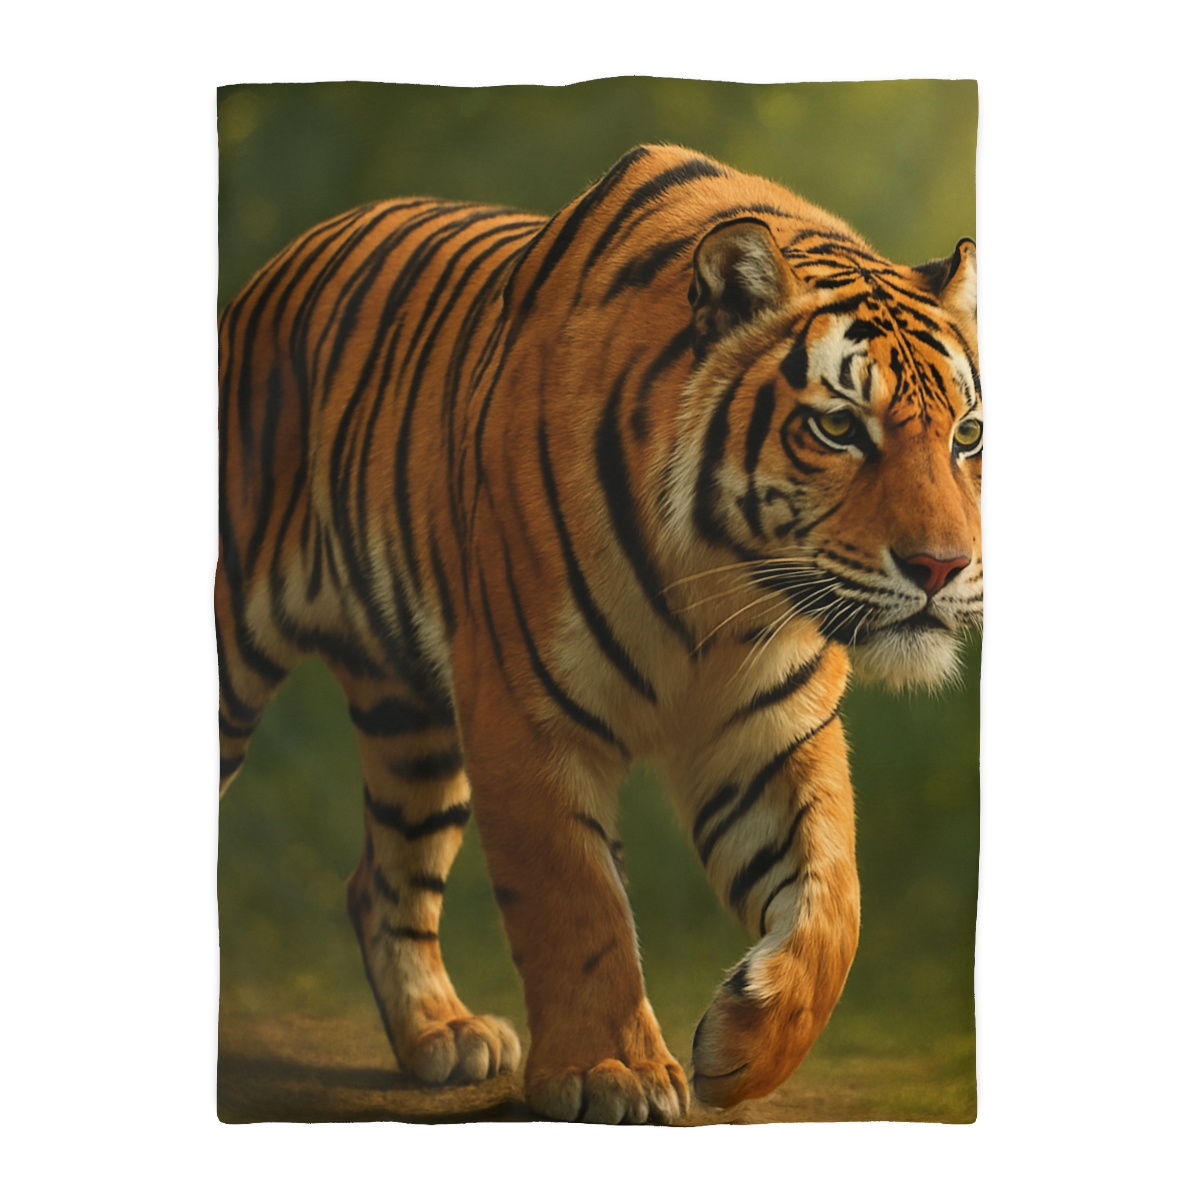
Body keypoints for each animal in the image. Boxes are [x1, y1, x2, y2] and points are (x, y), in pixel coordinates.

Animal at [217, 143, 981, 1124]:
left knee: (384, 879)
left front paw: (742, 1048)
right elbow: (577, 901)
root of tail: (290, 252)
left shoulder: (771, 735)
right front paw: (609, 1071)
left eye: (967, 435)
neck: (723, 587)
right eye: (839, 425)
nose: (943, 568)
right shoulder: (524, 714)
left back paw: (442, 1034)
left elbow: (833, 900)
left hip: (414, 722)